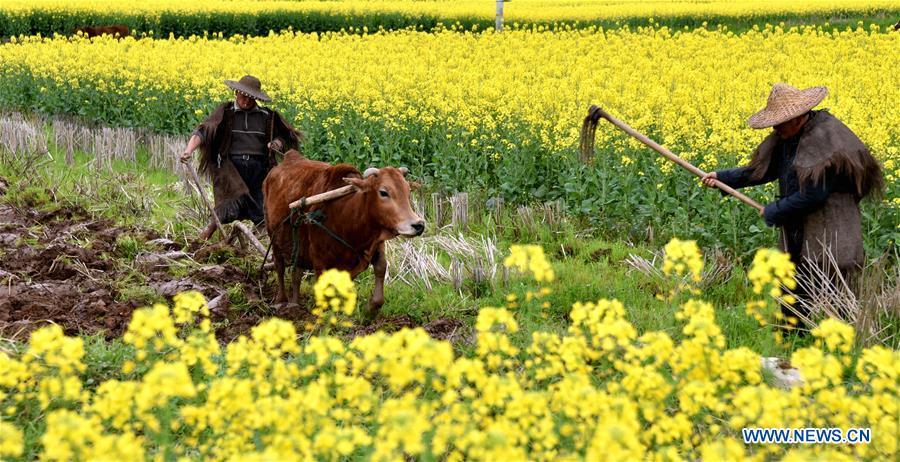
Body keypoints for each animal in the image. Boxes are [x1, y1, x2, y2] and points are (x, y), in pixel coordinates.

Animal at [264, 151, 426, 318]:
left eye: (408, 191)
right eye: (383, 192)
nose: (418, 225)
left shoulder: (376, 244)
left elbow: (381, 268)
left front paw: (369, 308)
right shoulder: (319, 261)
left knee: (296, 272)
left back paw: (294, 304)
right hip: (273, 237)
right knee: (279, 266)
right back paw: (281, 300)